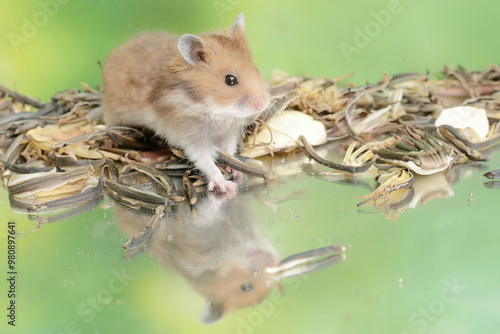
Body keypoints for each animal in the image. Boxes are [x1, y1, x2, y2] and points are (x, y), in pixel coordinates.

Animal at [102, 14, 272, 192]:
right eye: (230, 80)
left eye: (256, 69)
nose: (263, 104)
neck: (216, 110)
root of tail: (121, 47)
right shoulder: (192, 136)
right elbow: (206, 161)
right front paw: (226, 186)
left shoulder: (228, 133)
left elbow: (228, 151)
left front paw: (236, 171)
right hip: (113, 111)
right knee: (108, 125)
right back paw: (109, 144)